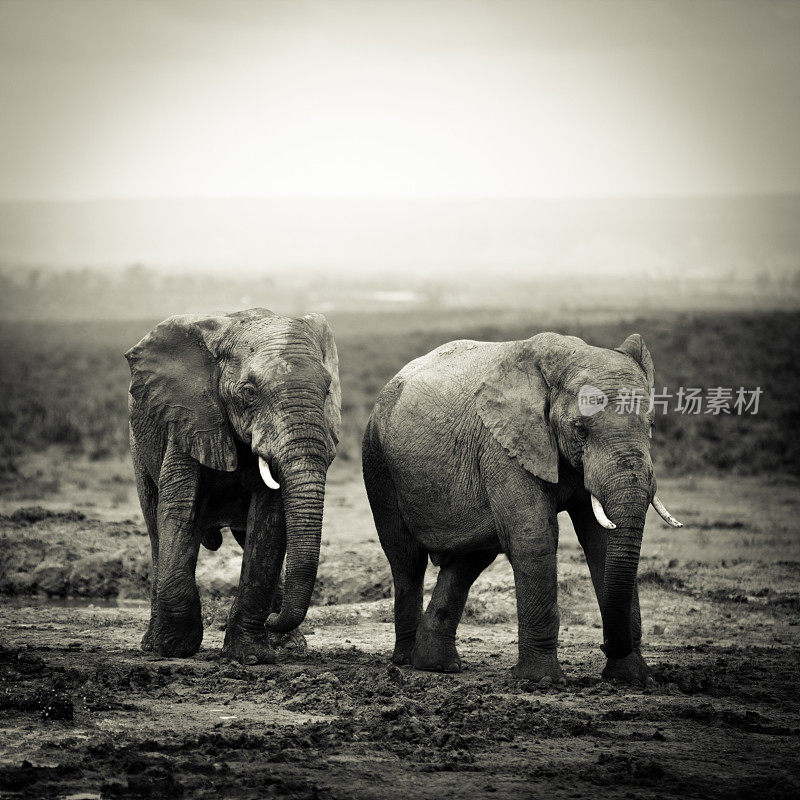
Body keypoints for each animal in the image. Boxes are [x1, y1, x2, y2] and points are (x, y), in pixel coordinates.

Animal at [125, 306, 340, 664]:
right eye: (249, 393)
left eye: (326, 392)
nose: (273, 620)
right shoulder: (190, 417)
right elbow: (179, 512)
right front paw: (174, 648)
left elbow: (268, 524)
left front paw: (252, 656)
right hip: (139, 446)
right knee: (155, 528)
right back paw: (151, 645)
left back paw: (289, 646)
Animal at [362, 332, 680, 688]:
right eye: (580, 429)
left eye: (651, 425)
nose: (605, 644)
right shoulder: (502, 445)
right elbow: (534, 537)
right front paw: (543, 681)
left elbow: (602, 542)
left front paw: (634, 679)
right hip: (378, 461)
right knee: (406, 560)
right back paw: (405, 662)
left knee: (469, 561)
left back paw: (437, 665)